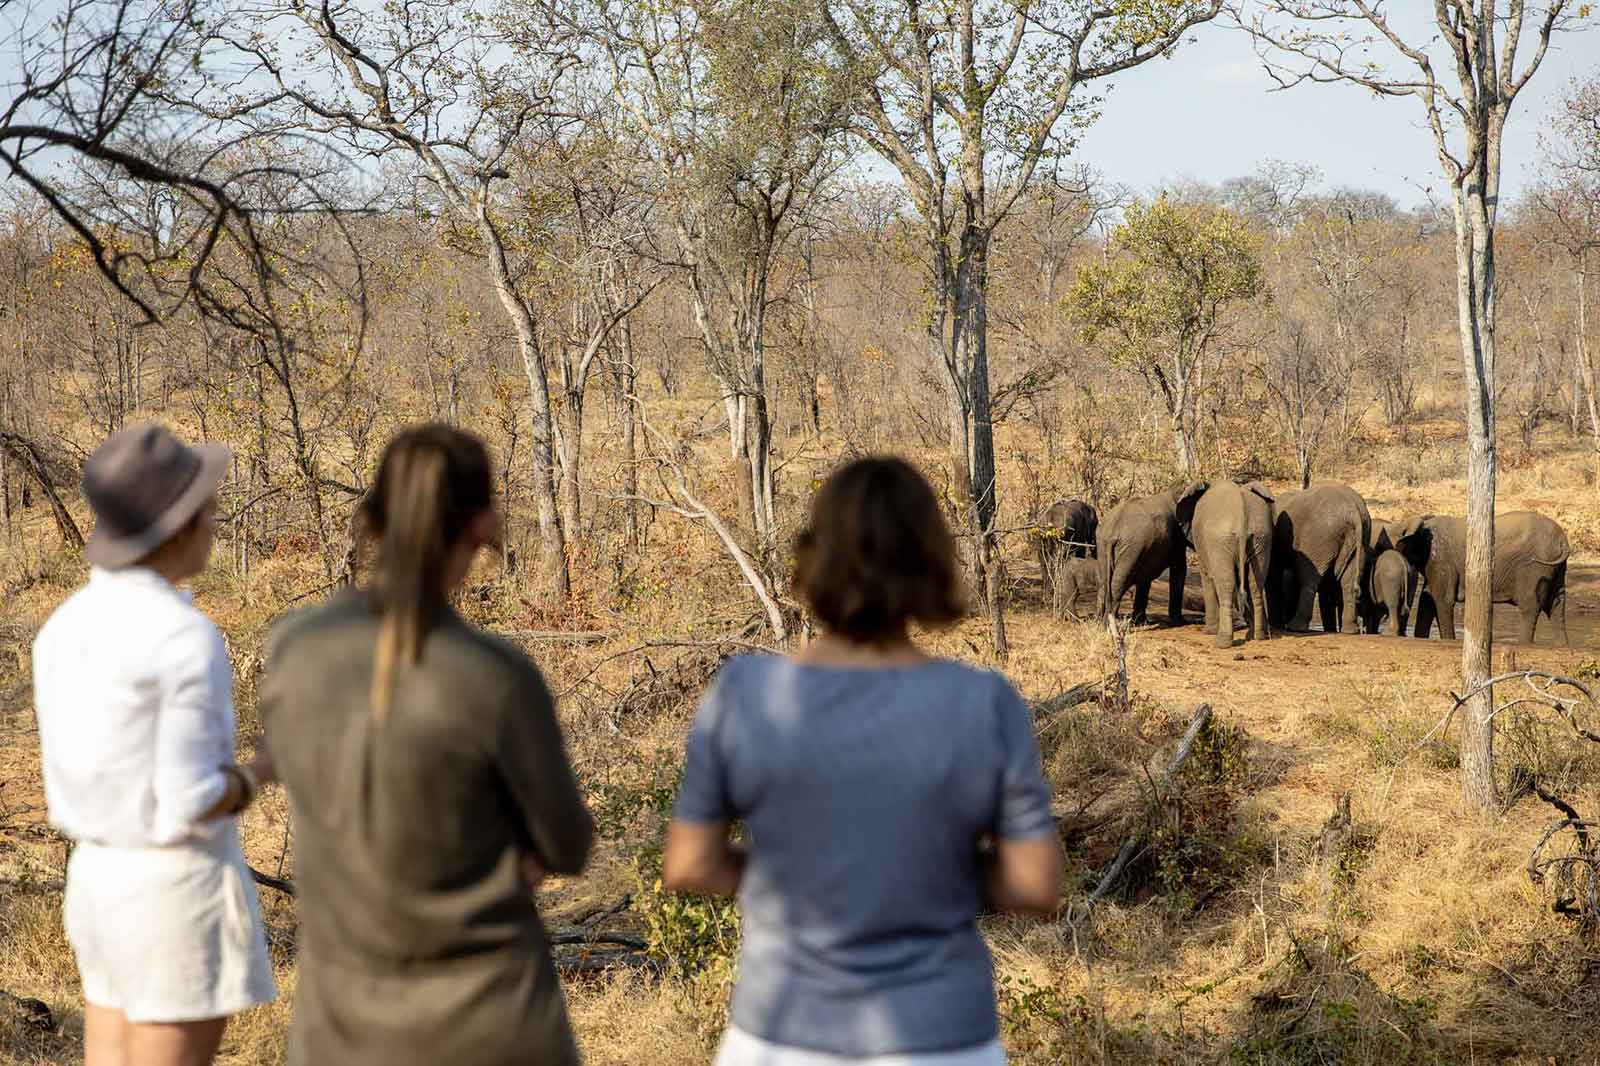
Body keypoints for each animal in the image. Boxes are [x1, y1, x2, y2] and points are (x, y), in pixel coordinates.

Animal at [1099, 483, 1207, 626]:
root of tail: (1113, 530)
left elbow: (1146, 577)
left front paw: (1142, 623)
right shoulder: (1177, 536)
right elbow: (1179, 570)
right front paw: (1180, 622)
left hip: (1105, 545)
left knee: (1104, 581)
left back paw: (1100, 622)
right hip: (1131, 548)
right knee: (1118, 582)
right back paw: (1110, 624)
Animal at [1190, 480, 1275, 647]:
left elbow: (1208, 578)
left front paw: (1208, 632)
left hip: (1220, 540)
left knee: (1226, 585)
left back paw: (1222, 643)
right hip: (1261, 537)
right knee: (1255, 584)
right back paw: (1258, 637)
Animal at [1270, 482, 1371, 634]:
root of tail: (1353, 509)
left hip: (1318, 537)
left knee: (1309, 580)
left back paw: (1296, 628)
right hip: (1360, 538)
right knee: (1349, 581)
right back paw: (1349, 630)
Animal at [1395, 512, 1571, 644]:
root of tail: (1563, 541)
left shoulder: (1441, 559)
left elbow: (1443, 599)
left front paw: (1449, 640)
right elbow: (1427, 599)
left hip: (1535, 568)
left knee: (1530, 605)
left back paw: (1523, 644)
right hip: (1556, 568)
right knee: (1557, 603)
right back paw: (1563, 646)